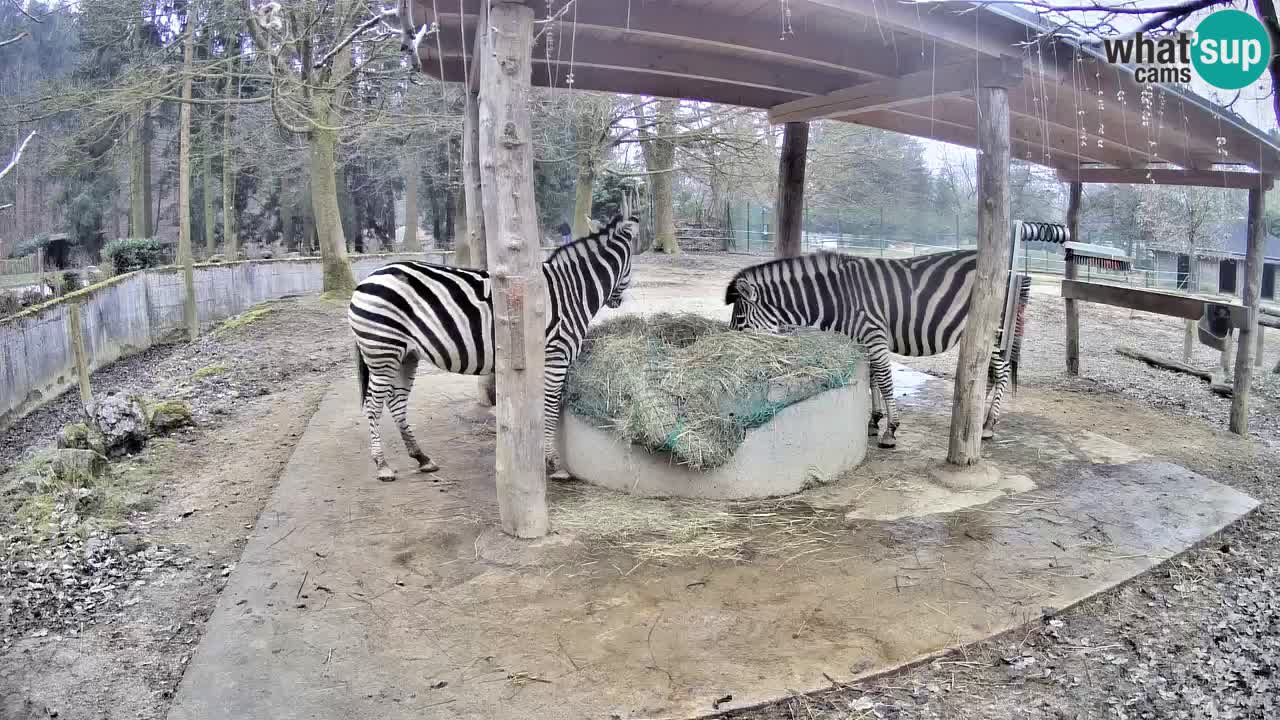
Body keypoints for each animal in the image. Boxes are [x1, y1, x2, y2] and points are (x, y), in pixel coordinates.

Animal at [348, 210, 640, 479]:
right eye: (631, 265)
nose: (617, 301)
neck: (571, 291)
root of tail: (366, 280)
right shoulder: (556, 355)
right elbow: (550, 406)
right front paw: (552, 463)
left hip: (405, 355)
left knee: (396, 402)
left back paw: (422, 458)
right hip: (383, 350)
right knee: (373, 405)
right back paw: (383, 465)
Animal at [732, 249, 1029, 445]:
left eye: (740, 319)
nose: (732, 342)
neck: (838, 297)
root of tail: (1010, 271)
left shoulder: (873, 333)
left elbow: (885, 380)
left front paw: (890, 430)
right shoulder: (865, 339)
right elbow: (873, 377)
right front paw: (874, 420)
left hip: (994, 332)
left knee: (1001, 373)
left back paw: (988, 425)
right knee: (987, 375)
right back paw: (978, 418)